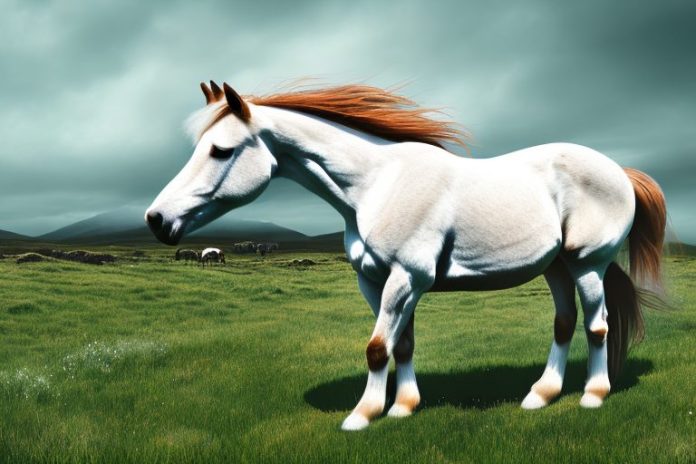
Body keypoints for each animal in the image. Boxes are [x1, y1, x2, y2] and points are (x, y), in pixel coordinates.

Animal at [145, 81, 666, 431]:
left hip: (587, 265)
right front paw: (402, 407)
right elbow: (401, 345)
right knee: (563, 324)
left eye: (220, 150)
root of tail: (620, 172)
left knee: (597, 326)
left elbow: (378, 347)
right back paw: (540, 395)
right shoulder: (378, 281)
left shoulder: (406, 278)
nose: (156, 219)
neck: (376, 185)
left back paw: (593, 396)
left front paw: (362, 414)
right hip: (555, 267)